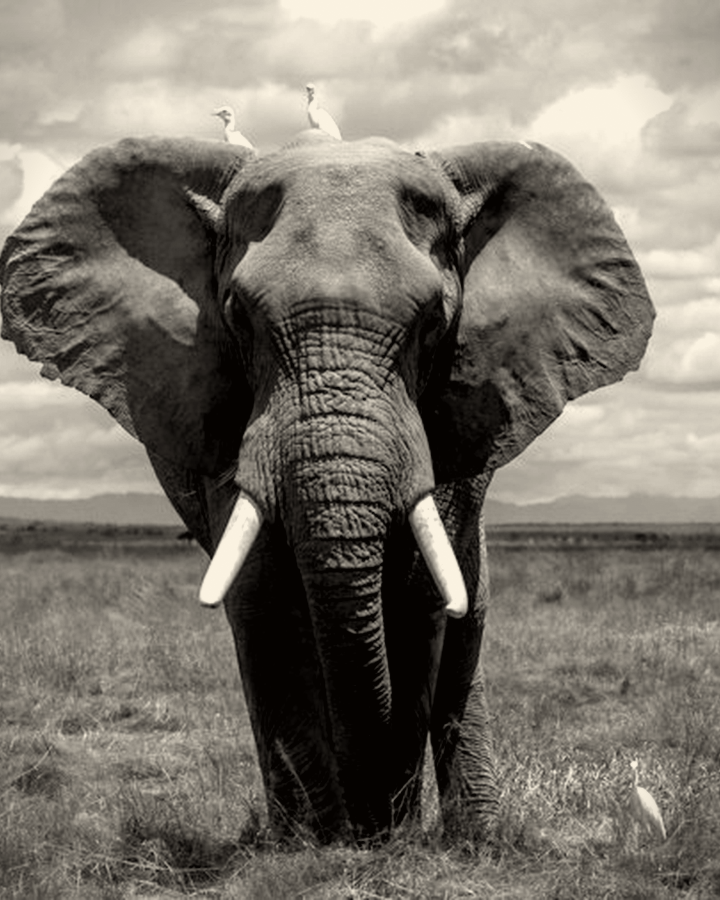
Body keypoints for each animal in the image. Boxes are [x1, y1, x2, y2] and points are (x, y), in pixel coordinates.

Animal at [0, 129, 654, 844]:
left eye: (434, 321)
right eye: (238, 318)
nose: (368, 828)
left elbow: (419, 596)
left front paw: (388, 837)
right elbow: (261, 596)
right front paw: (312, 845)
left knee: (467, 620)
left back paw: (476, 836)